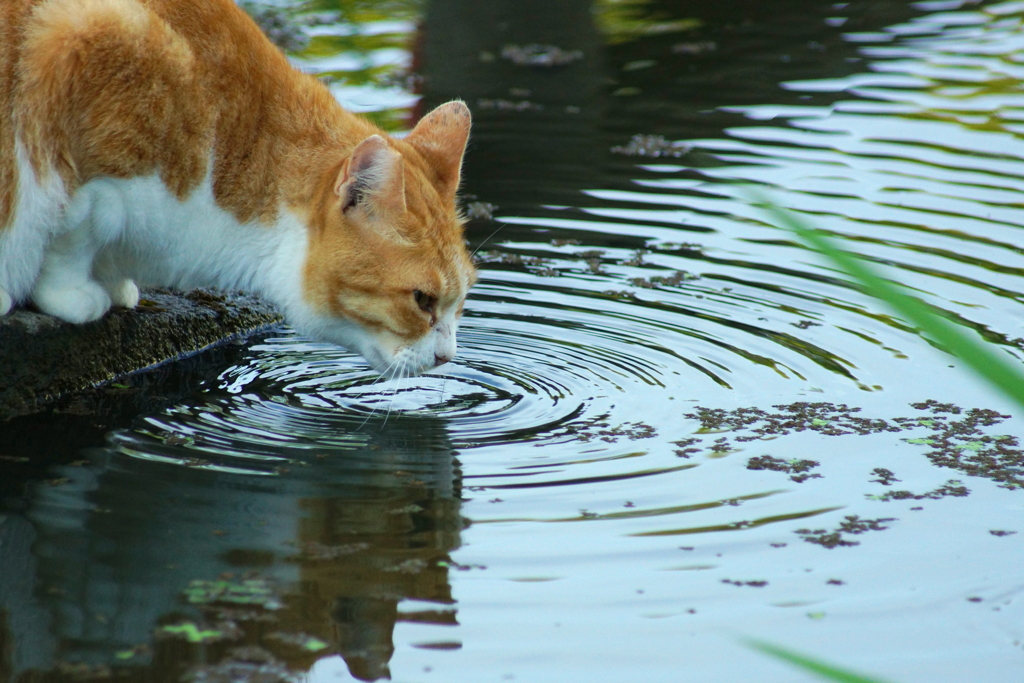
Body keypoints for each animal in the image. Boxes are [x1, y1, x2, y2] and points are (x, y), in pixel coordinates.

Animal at [0, 0, 477, 374]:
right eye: (422, 299)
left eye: (460, 299)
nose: (448, 357)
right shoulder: (83, 39)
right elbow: (72, 230)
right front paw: (69, 292)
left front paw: (114, 283)